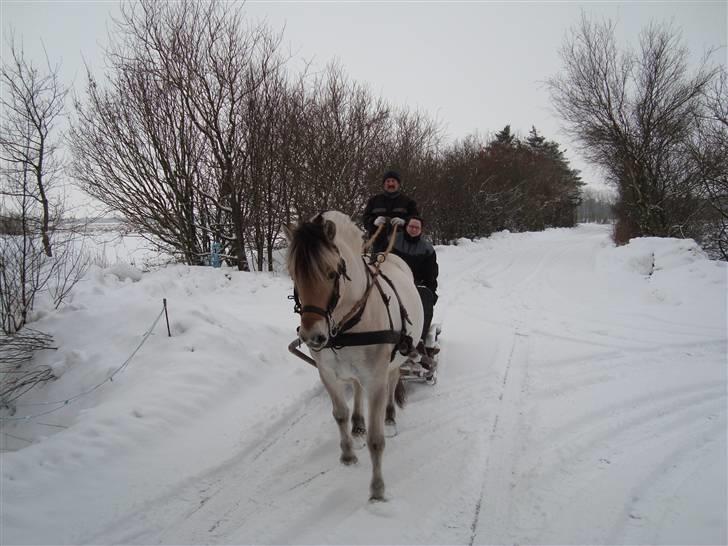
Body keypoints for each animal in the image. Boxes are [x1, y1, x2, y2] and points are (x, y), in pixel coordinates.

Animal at [282, 210, 424, 500]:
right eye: (293, 274)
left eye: (331, 273)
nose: (312, 336)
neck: (346, 326)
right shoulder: (327, 373)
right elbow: (340, 414)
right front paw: (347, 454)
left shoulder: (376, 379)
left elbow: (376, 439)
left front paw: (377, 490)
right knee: (357, 389)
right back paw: (358, 426)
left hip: (395, 361)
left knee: (394, 381)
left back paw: (390, 418)